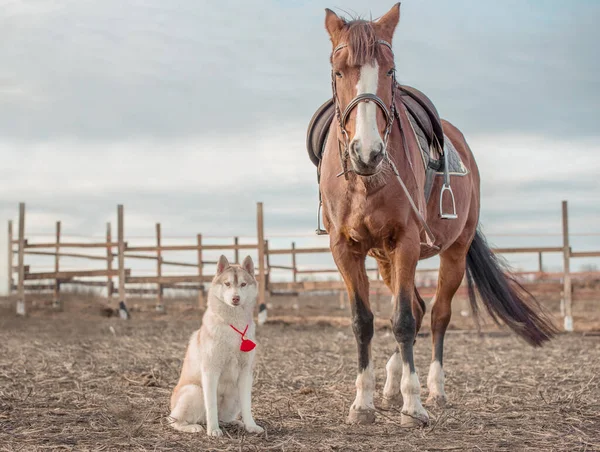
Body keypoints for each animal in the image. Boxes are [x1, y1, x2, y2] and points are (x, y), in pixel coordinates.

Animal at [169, 256, 262, 436]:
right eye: (227, 284)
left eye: (243, 284)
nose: (235, 298)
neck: (234, 326)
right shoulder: (210, 371)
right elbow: (211, 405)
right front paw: (213, 430)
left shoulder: (246, 373)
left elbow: (247, 405)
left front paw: (250, 425)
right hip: (194, 391)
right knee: (174, 421)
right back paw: (193, 426)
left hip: (234, 394)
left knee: (224, 417)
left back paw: (234, 422)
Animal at [318, 3, 556, 428]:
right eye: (339, 71)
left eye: (390, 71)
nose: (368, 152)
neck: (368, 180)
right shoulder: (345, 249)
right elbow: (364, 322)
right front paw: (363, 403)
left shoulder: (407, 242)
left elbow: (404, 322)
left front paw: (414, 406)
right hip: (385, 260)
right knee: (414, 307)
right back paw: (391, 384)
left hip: (452, 253)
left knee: (437, 315)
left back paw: (434, 389)